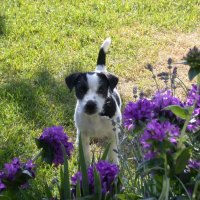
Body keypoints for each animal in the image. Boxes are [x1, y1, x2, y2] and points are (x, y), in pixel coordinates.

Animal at [66, 37, 121, 166]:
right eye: (81, 89)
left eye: (101, 89)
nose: (90, 104)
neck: (96, 117)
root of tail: (100, 70)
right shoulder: (84, 135)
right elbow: (85, 154)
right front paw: (85, 167)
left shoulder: (112, 135)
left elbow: (113, 152)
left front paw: (115, 165)